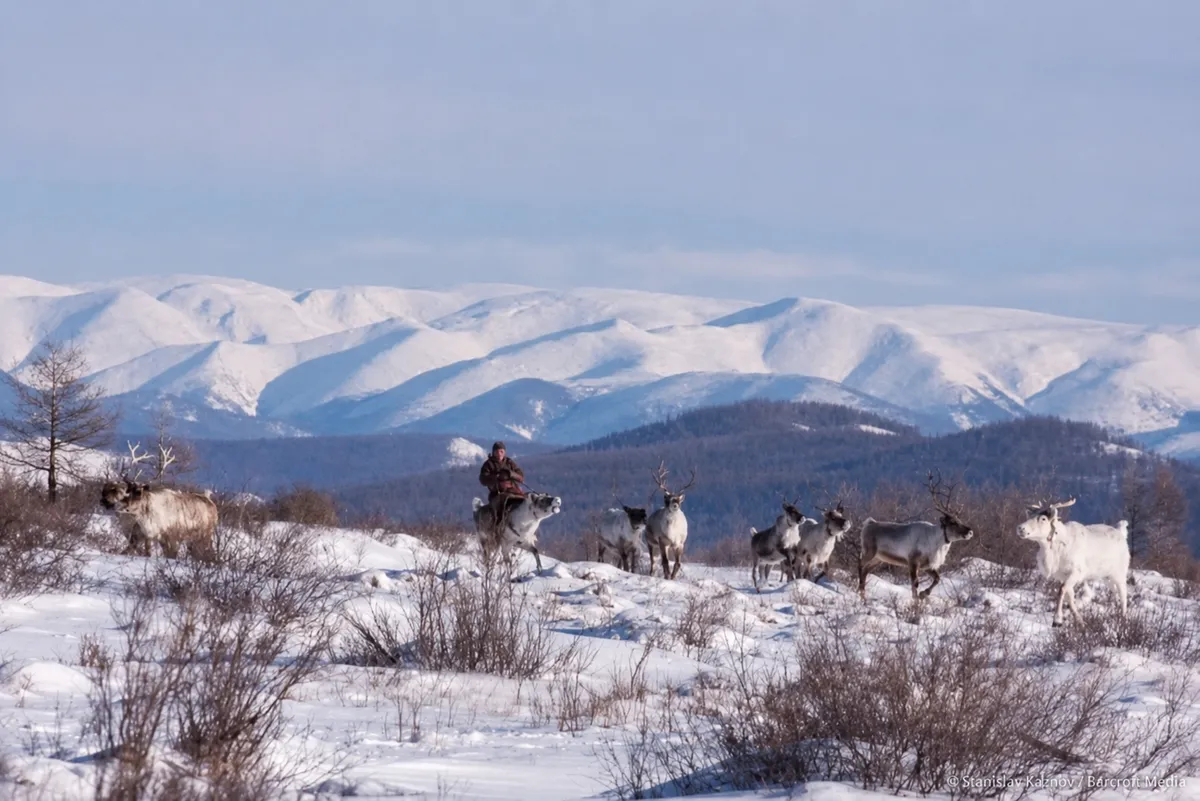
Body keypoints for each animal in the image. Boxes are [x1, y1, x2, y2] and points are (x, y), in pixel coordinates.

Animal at [858, 471, 974, 601]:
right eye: (953, 522)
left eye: (960, 519)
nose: (970, 531)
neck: (935, 541)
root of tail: (868, 524)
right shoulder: (913, 561)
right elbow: (915, 585)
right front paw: (917, 600)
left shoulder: (927, 566)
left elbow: (937, 578)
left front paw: (923, 594)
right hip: (869, 551)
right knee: (860, 564)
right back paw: (859, 592)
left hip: (879, 558)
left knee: (866, 570)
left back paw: (863, 596)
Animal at [1017, 497, 1130, 626]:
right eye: (1031, 515)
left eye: (1043, 518)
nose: (1020, 528)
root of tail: (1121, 533)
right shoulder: (1062, 576)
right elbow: (1069, 596)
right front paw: (1080, 621)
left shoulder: (1076, 572)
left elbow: (1062, 590)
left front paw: (1057, 619)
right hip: (1106, 577)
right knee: (1116, 592)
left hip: (1119, 573)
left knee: (1123, 594)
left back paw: (1123, 619)